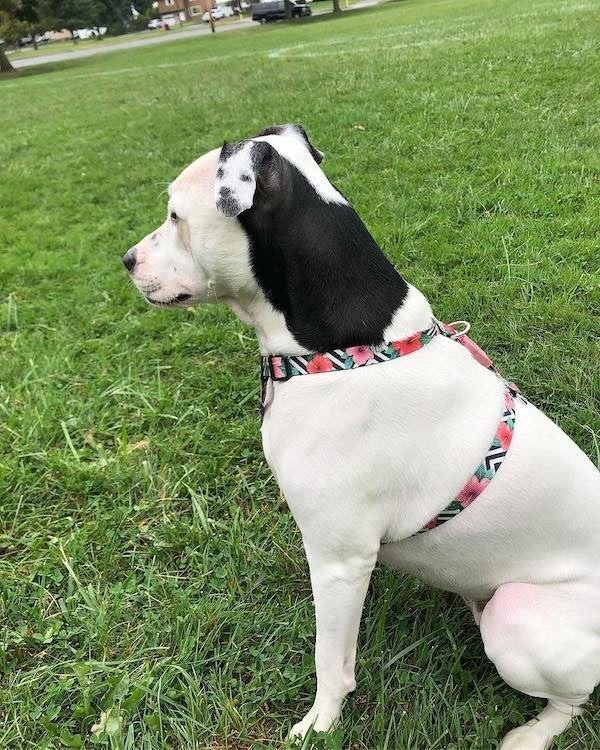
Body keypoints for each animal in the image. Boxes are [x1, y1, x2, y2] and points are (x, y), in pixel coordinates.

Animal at [123, 126, 600, 748]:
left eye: (176, 216)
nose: (126, 260)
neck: (340, 348)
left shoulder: (339, 559)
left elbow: (330, 660)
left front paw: (319, 724)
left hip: (518, 616)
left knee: (572, 700)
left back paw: (532, 734)